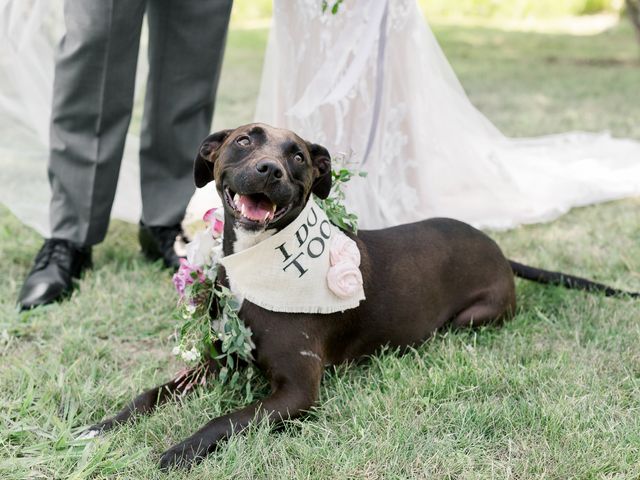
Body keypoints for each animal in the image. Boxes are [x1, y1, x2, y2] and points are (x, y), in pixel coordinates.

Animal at [87, 122, 636, 466]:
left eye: (298, 156)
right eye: (244, 141)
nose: (270, 171)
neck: (259, 266)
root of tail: (497, 248)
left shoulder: (297, 393)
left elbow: (223, 420)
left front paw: (180, 451)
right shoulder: (220, 358)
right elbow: (152, 393)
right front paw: (104, 425)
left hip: (472, 318)